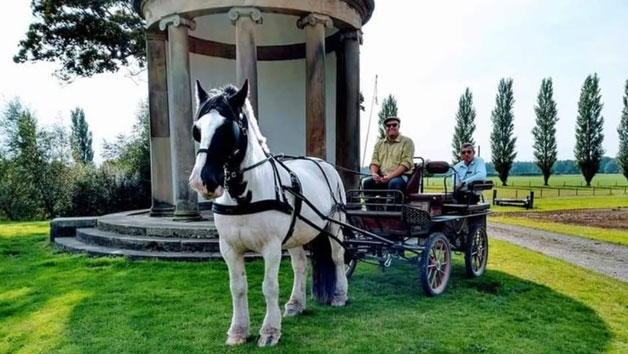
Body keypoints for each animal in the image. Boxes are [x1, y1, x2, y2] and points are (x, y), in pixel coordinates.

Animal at [189, 79, 350, 346]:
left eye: (228, 128)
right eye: (197, 129)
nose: (203, 181)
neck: (244, 197)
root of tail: (322, 163)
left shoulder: (272, 247)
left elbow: (269, 286)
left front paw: (270, 331)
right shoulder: (229, 248)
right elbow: (237, 287)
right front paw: (238, 331)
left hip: (334, 226)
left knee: (338, 257)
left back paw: (339, 295)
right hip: (297, 235)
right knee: (300, 266)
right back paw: (295, 304)